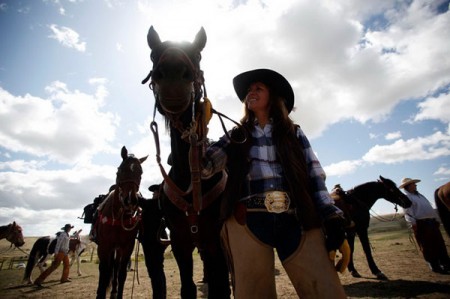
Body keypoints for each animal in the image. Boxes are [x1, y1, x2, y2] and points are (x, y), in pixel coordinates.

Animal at [95, 147, 148, 299]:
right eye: (121, 170)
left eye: (140, 173)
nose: (130, 200)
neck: (118, 215)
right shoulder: (104, 246)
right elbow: (104, 272)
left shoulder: (126, 247)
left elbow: (122, 273)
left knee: (116, 266)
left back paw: (113, 291)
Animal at [142, 27, 230, 298]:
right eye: (153, 54)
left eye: (198, 55)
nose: (172, 75)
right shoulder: (180, 243)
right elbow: (187, 288)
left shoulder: (214, 241)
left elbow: (221, 288)